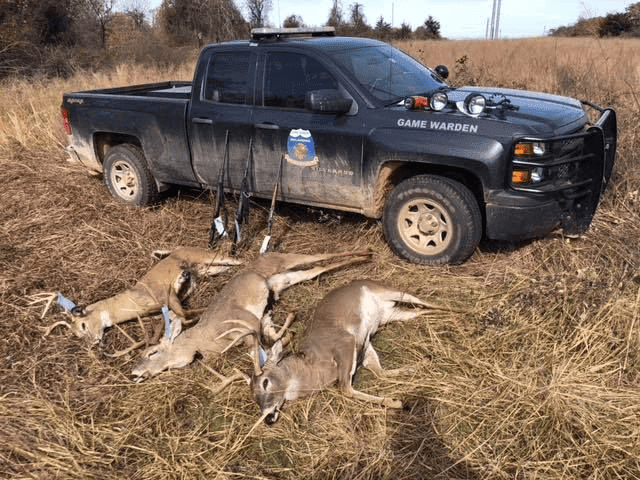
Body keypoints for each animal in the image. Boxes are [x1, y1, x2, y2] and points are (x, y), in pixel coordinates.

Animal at [42, 247, 241, 348]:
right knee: (227, 267)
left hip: (205, 255)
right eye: (76, 334)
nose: (93, 343)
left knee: (236, 259)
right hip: (208, 269)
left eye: (83, 325)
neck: (134, 302)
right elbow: (180, 315)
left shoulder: (166, 296)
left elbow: (184, 314)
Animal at [131, 250, 373, 383]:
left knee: (318, 256)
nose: (133, 373)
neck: (204, 339)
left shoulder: (248, 325)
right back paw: (363, 256)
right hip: (284, 278)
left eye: (152, 353)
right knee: (316, 269)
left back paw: (367, 252)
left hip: (284, 260)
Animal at [251, 280, 450, 425]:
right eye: (254, 397)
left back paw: (456, 310)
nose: (267, 418)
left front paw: (398, 402)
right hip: (394, 314)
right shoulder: (365, 349)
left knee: (428, 303)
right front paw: (397, 400)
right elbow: (380, 373)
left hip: (390, 292)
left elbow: (346, 388)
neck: (312, 366)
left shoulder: (347, 342)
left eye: (265, 382)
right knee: (422, 312)